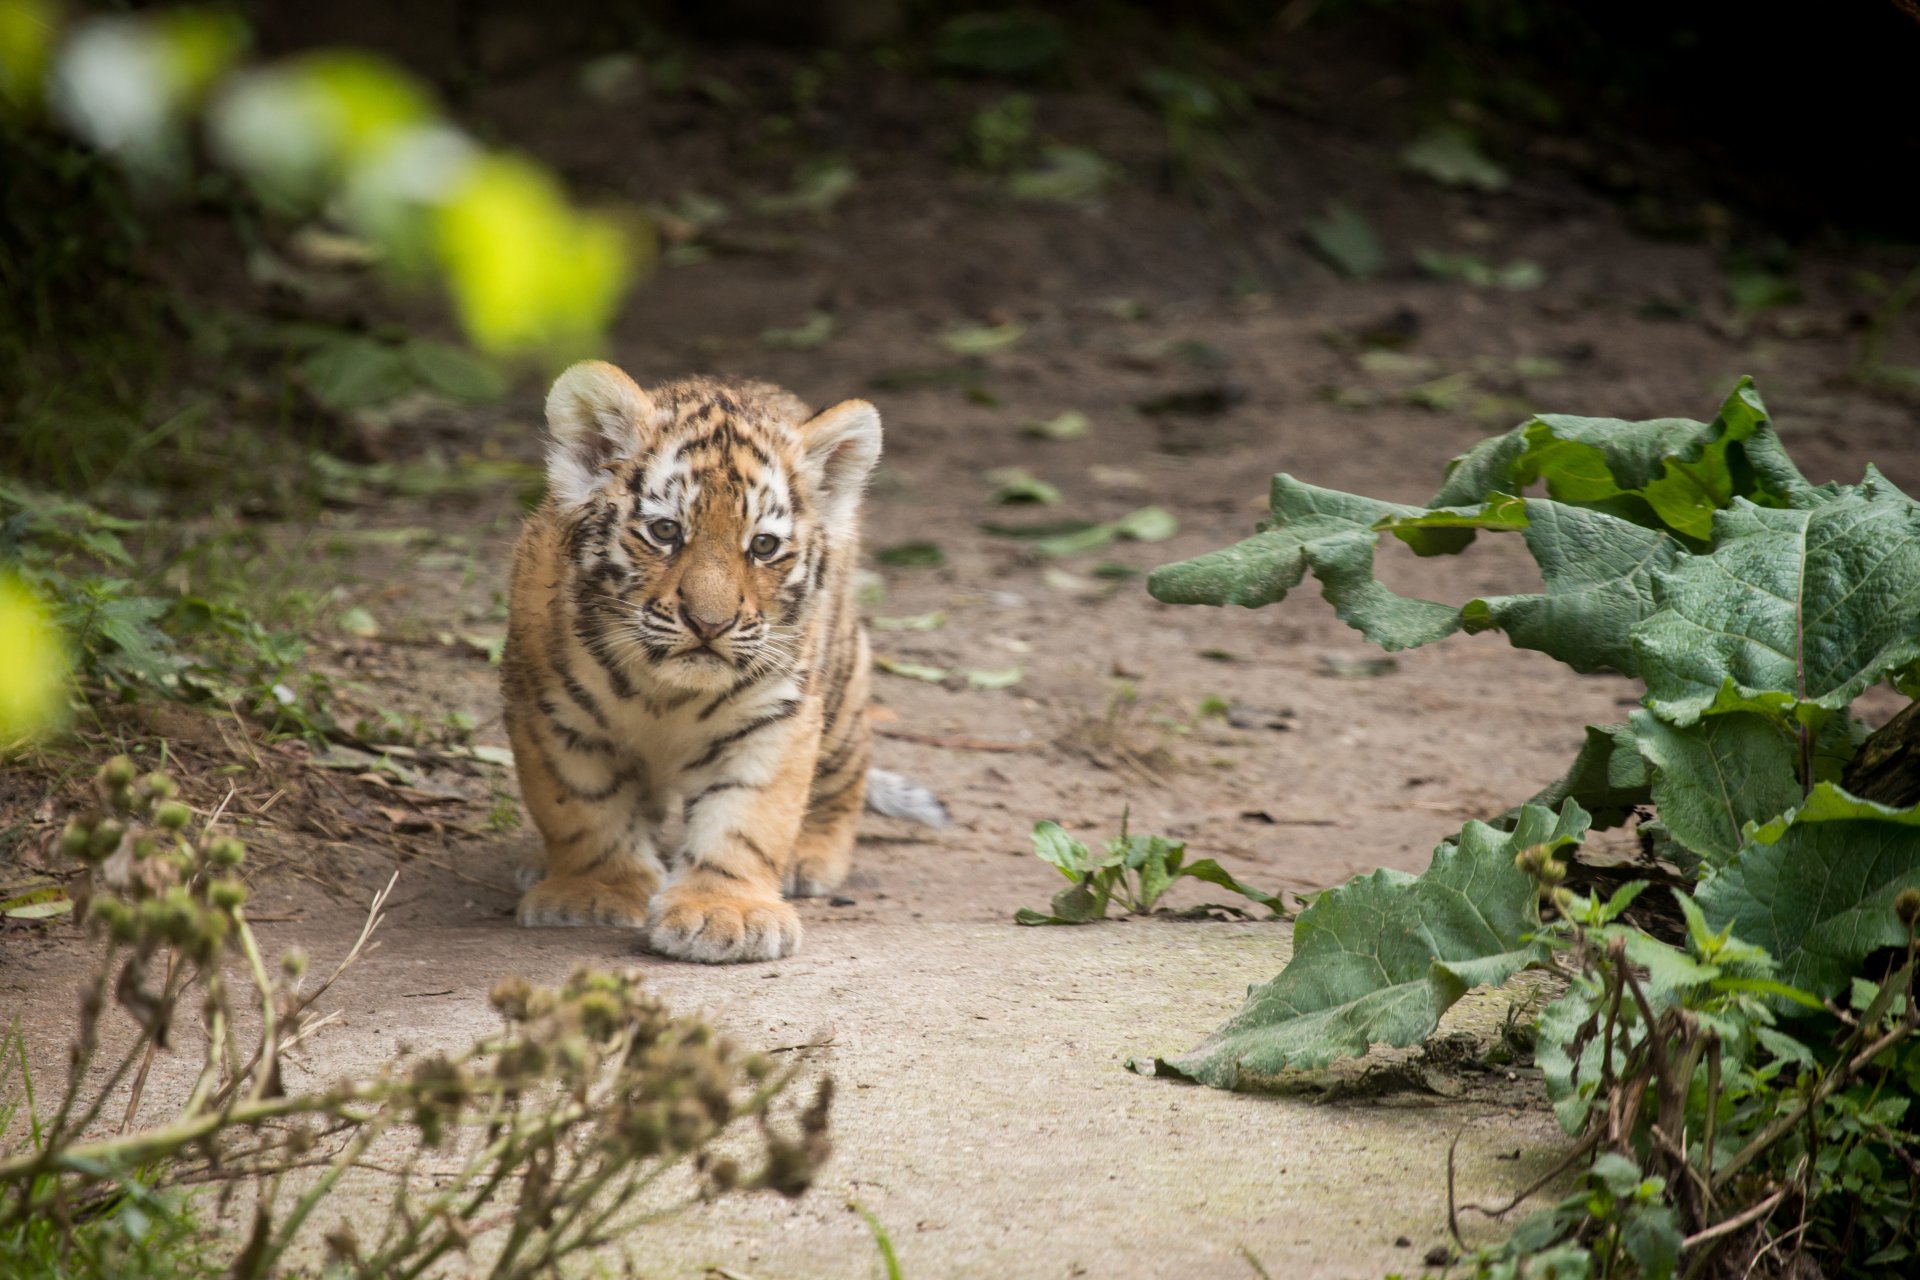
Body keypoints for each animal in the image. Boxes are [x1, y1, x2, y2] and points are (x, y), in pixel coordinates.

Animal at [500, 360, 947, 964]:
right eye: (665, 531)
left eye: (762, 546)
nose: (709, 624)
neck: (665, 693)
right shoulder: (550, 714)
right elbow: (583, 811)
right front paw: (594, 893)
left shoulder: (774, 718)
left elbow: (745, 820)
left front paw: (724, 912)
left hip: (841, 688)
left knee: (844, 775)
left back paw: (810, 855)